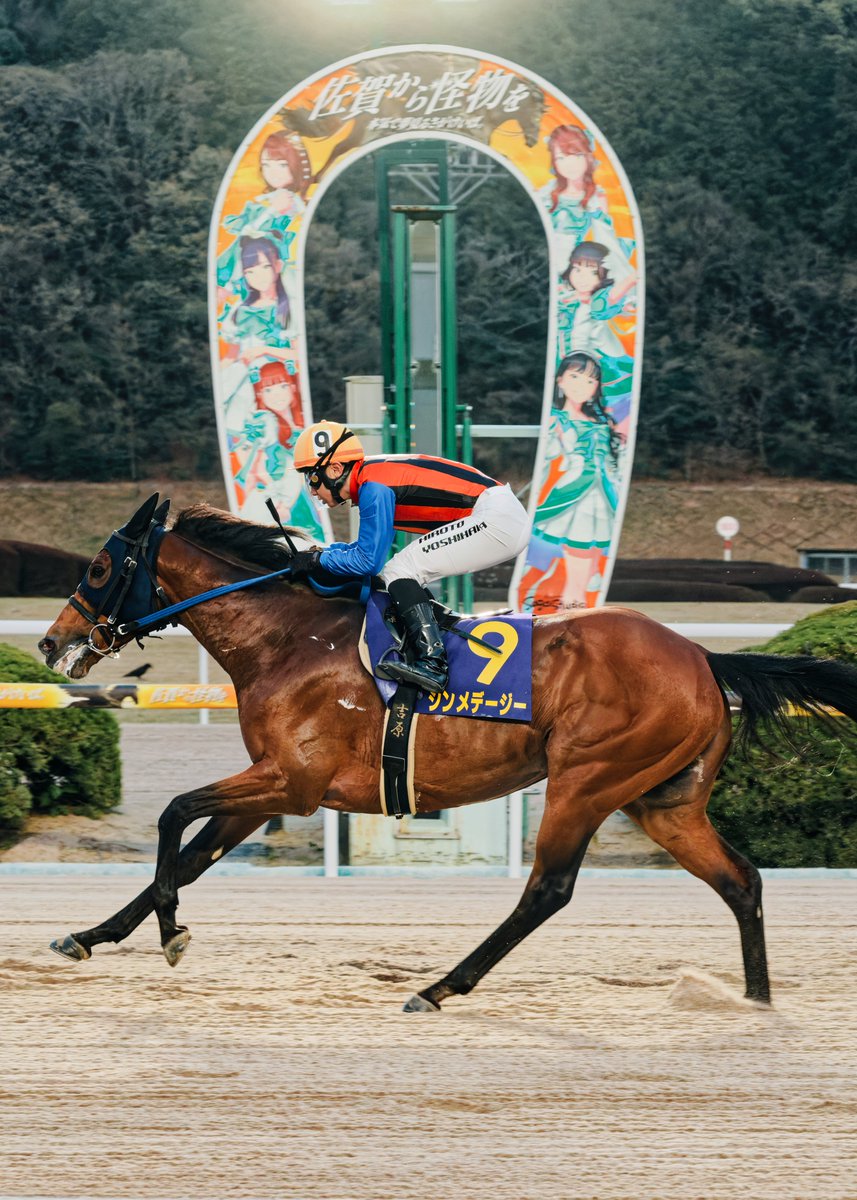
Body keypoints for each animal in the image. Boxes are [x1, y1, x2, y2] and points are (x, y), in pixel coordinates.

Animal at [38, 494, 857, 1011]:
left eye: (100, 569)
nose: (51, 644)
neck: (288, 639)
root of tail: (701, 657)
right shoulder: (273, 784)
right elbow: (190, 856)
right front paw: (90, 936)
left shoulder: (290, 782)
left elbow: (174, 817)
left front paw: (170, 935)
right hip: (664, 801)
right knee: (740, 881)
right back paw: (756, 1002)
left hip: (588, 780)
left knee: (547, 891)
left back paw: (437, 988)